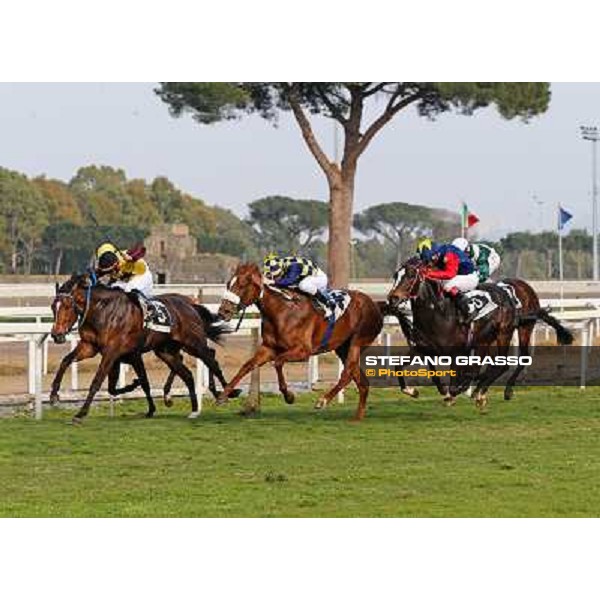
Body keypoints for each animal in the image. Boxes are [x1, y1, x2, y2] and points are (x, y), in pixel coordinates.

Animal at [49, 272, 237, 422]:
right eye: (53, 307)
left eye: (67, 306)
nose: (56, 335)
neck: (102, 311)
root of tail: (190, 305)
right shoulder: (90, 347)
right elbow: (66, 361)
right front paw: (54, 395)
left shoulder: (113, 352)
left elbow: (98, 381)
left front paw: (81, 413)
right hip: (166, 351)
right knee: (188, 374)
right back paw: (193, 409)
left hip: (193, 342)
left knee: (211, 359)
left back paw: (227, 393)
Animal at [216, 262, 384, 422]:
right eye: (228, 284)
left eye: (242, 284)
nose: (223, 311)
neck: (282, 311)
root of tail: (374, 304)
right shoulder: (268, 348)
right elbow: (246, 366)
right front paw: (223, 395)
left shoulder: (303, 351)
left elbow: (277, 362)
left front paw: (289, 396)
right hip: (343, 347)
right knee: (361, 380)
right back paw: (357, 417)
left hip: (358, 340)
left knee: (348, 371)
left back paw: (323, 400)